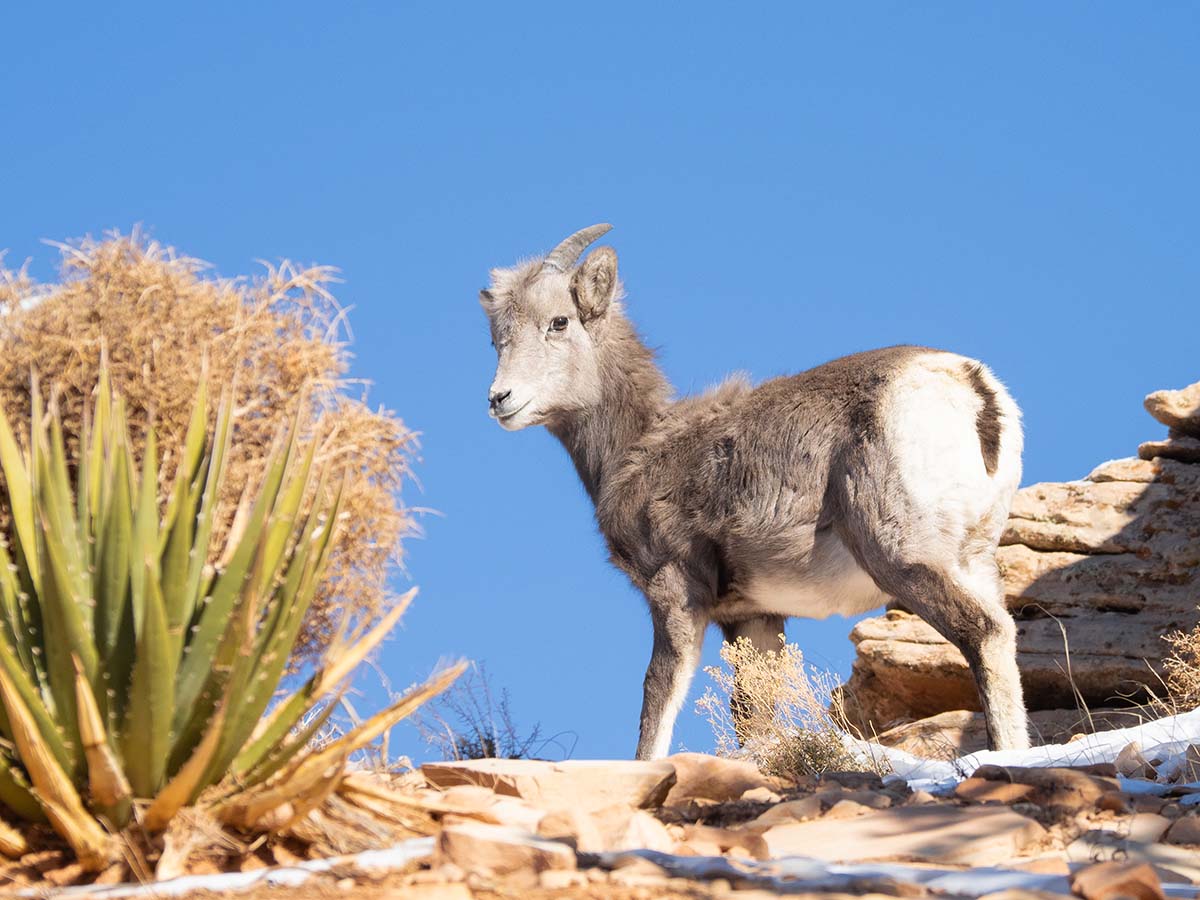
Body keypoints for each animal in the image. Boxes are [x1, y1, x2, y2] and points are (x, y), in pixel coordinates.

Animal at [477, 222, 1032, 758]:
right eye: (497, 338)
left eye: (559, 322)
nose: (500, 399)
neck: (639, 443)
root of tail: (970, 387)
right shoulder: (755, 617)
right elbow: (753, 719)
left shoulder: (676, 592)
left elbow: (656, 706)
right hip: (973, 560)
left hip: (903, 555)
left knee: (983, 632)